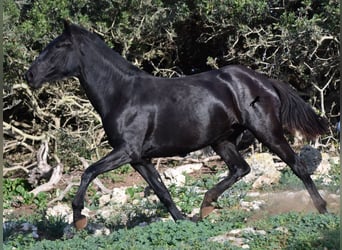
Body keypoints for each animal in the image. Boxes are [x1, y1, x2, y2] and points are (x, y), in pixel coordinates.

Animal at [24, 20, 328, 229]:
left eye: (59, 46)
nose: (30, 75)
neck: (122, 94)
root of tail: (263, 81)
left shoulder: (126, 151)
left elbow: (88, 172)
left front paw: (78, 219)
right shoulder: (139, 158)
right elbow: (162, 191)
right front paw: (184, 219)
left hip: (267, 132)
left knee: (297, 166)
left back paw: (322, 209)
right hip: (222, 141)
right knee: (241, 168)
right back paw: (206, 206)